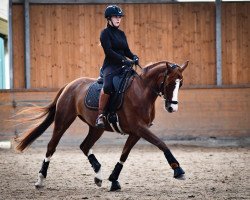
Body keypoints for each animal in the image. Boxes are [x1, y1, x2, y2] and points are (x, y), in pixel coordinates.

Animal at [14, 60, 188, 191]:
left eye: (180, 84)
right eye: (170, 83)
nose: (172, 108)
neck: (142, 90)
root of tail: (70, 85)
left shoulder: (136, 132)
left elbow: (124, 155)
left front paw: (114, 180)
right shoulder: (139, 128)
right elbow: (161, 143)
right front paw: (178, 170)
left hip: (97, 128)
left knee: (85, 146)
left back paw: (98, 175)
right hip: (63, 121)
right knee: (51, 146)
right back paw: (40, 180)